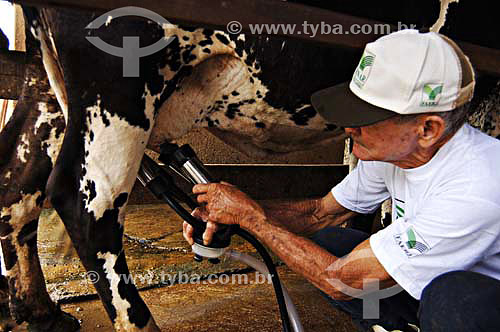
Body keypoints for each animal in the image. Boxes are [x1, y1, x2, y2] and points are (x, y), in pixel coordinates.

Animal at [0, 5, 356, 332]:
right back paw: (139, 323)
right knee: (85, 207)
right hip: (119, 87)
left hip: (45, 89)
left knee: (16, 187)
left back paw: (42, 314)